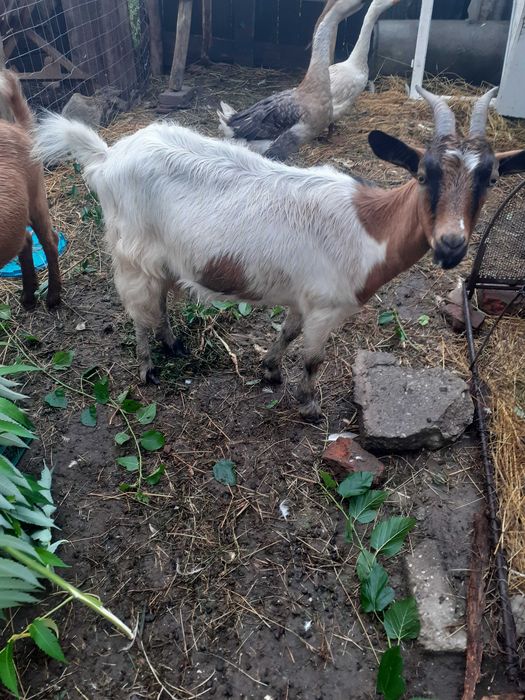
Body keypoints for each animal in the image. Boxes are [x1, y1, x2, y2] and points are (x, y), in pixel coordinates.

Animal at [0, 70, 61, 309]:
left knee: (49, 240)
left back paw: (53, 297)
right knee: (25, 238)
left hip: (36, 195)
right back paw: (28, 295)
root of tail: (18, 127)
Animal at [33, 87, 525, 420]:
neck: (371, 227)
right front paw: (308, 405)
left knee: (161, 299)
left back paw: (172, 344)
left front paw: (270, 370)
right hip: (131, 251)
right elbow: (312, 358)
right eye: (423, 174)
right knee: (138, 309)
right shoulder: (327, 306)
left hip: (167, 256)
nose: (451, 245)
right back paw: (147, 368)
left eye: (491, 180)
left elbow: (288, 333)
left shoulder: (303, 297)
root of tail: (107, 155)